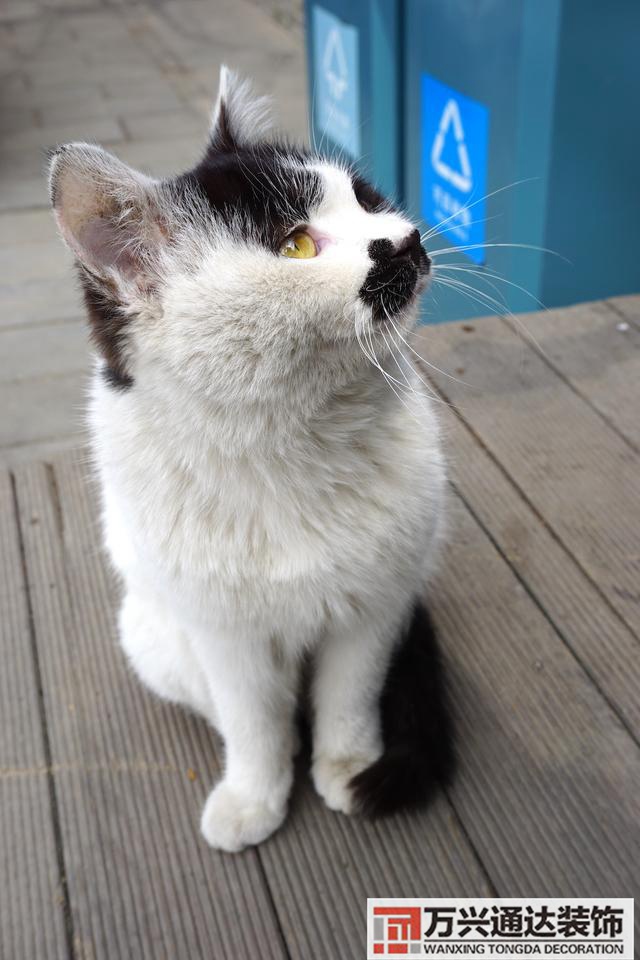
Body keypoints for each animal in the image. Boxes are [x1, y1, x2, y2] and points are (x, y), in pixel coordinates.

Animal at [47, 63, 452, 852]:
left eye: (366, 198)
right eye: (294, 245)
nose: (406, 237)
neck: (288, 440)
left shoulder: (372, 611)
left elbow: (348, 699)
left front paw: (348, 765)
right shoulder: (224, 637)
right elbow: (252, 721)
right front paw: (254, 796)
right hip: (151, 632)